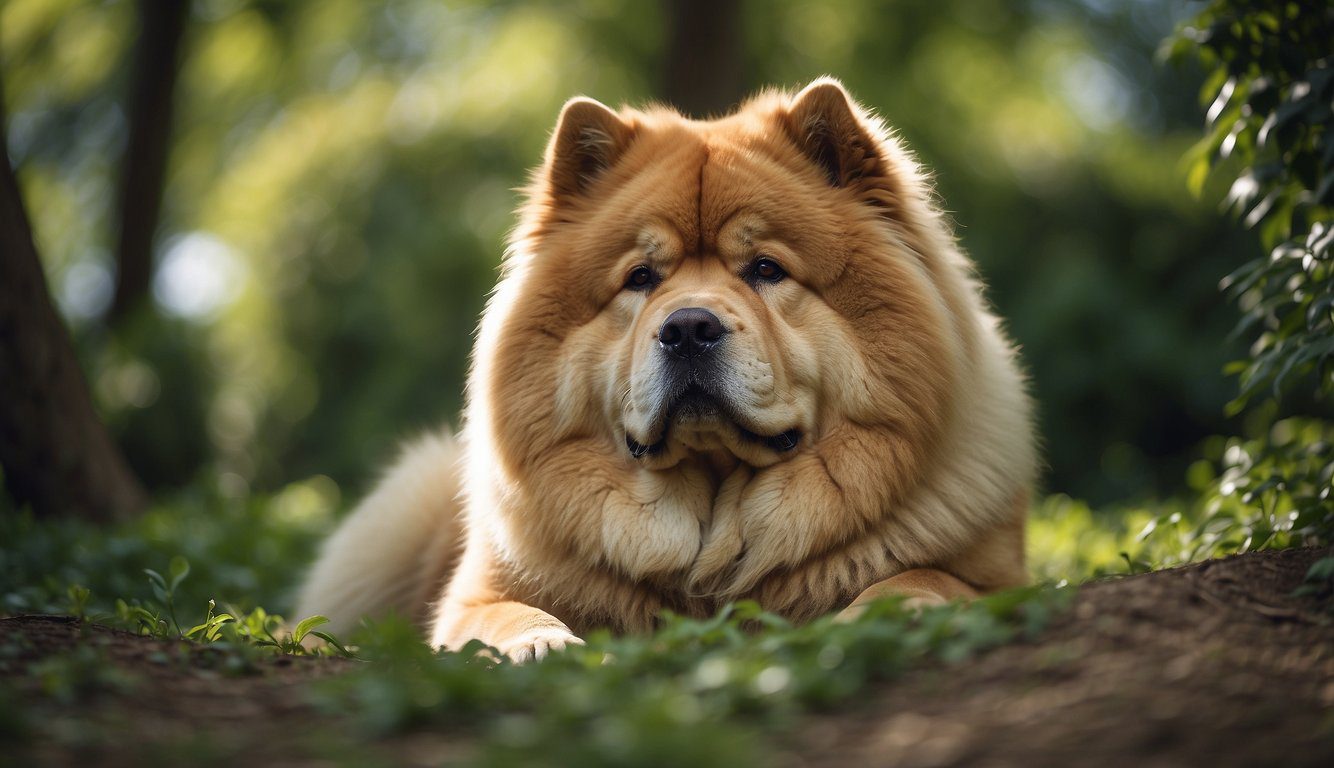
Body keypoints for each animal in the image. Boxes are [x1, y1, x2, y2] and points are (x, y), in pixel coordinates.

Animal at [297, 81, 1035, 664]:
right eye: (641, 278)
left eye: (765, 269)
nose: (687, 328)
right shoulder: (479, 594)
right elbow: (503, 615)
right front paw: (540, 643)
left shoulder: (987, 576)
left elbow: (920, 579)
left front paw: (876, 613)